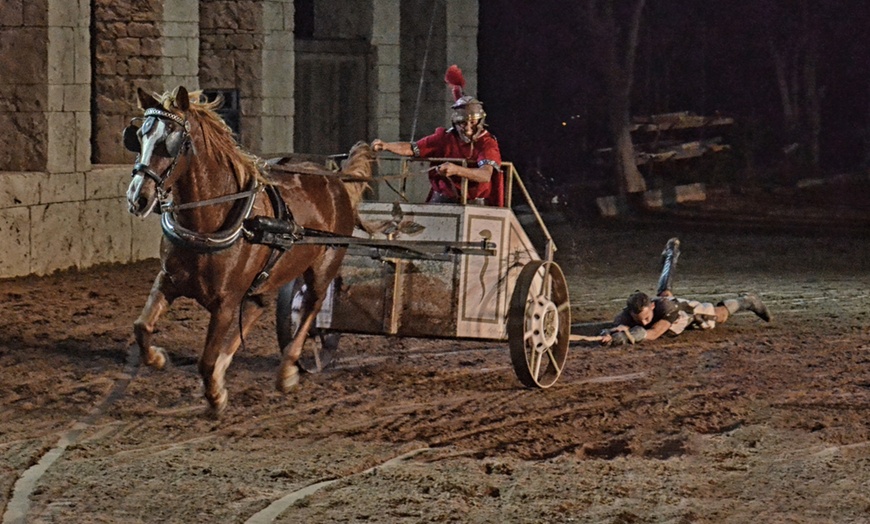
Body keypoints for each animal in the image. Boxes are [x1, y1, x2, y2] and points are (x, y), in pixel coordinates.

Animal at [125, 86, 372, 414]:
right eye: (139, 135)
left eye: (171, 141)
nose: (137, 197)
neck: (209, 221)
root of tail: (337, 181)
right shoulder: (168, 281)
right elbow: (142, 327)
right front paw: (158, 358)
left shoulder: (226, 303)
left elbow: (205, 360)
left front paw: (215, 396)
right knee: (258, 306)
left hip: (324, 265)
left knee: (312, 308)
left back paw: (287, 371)